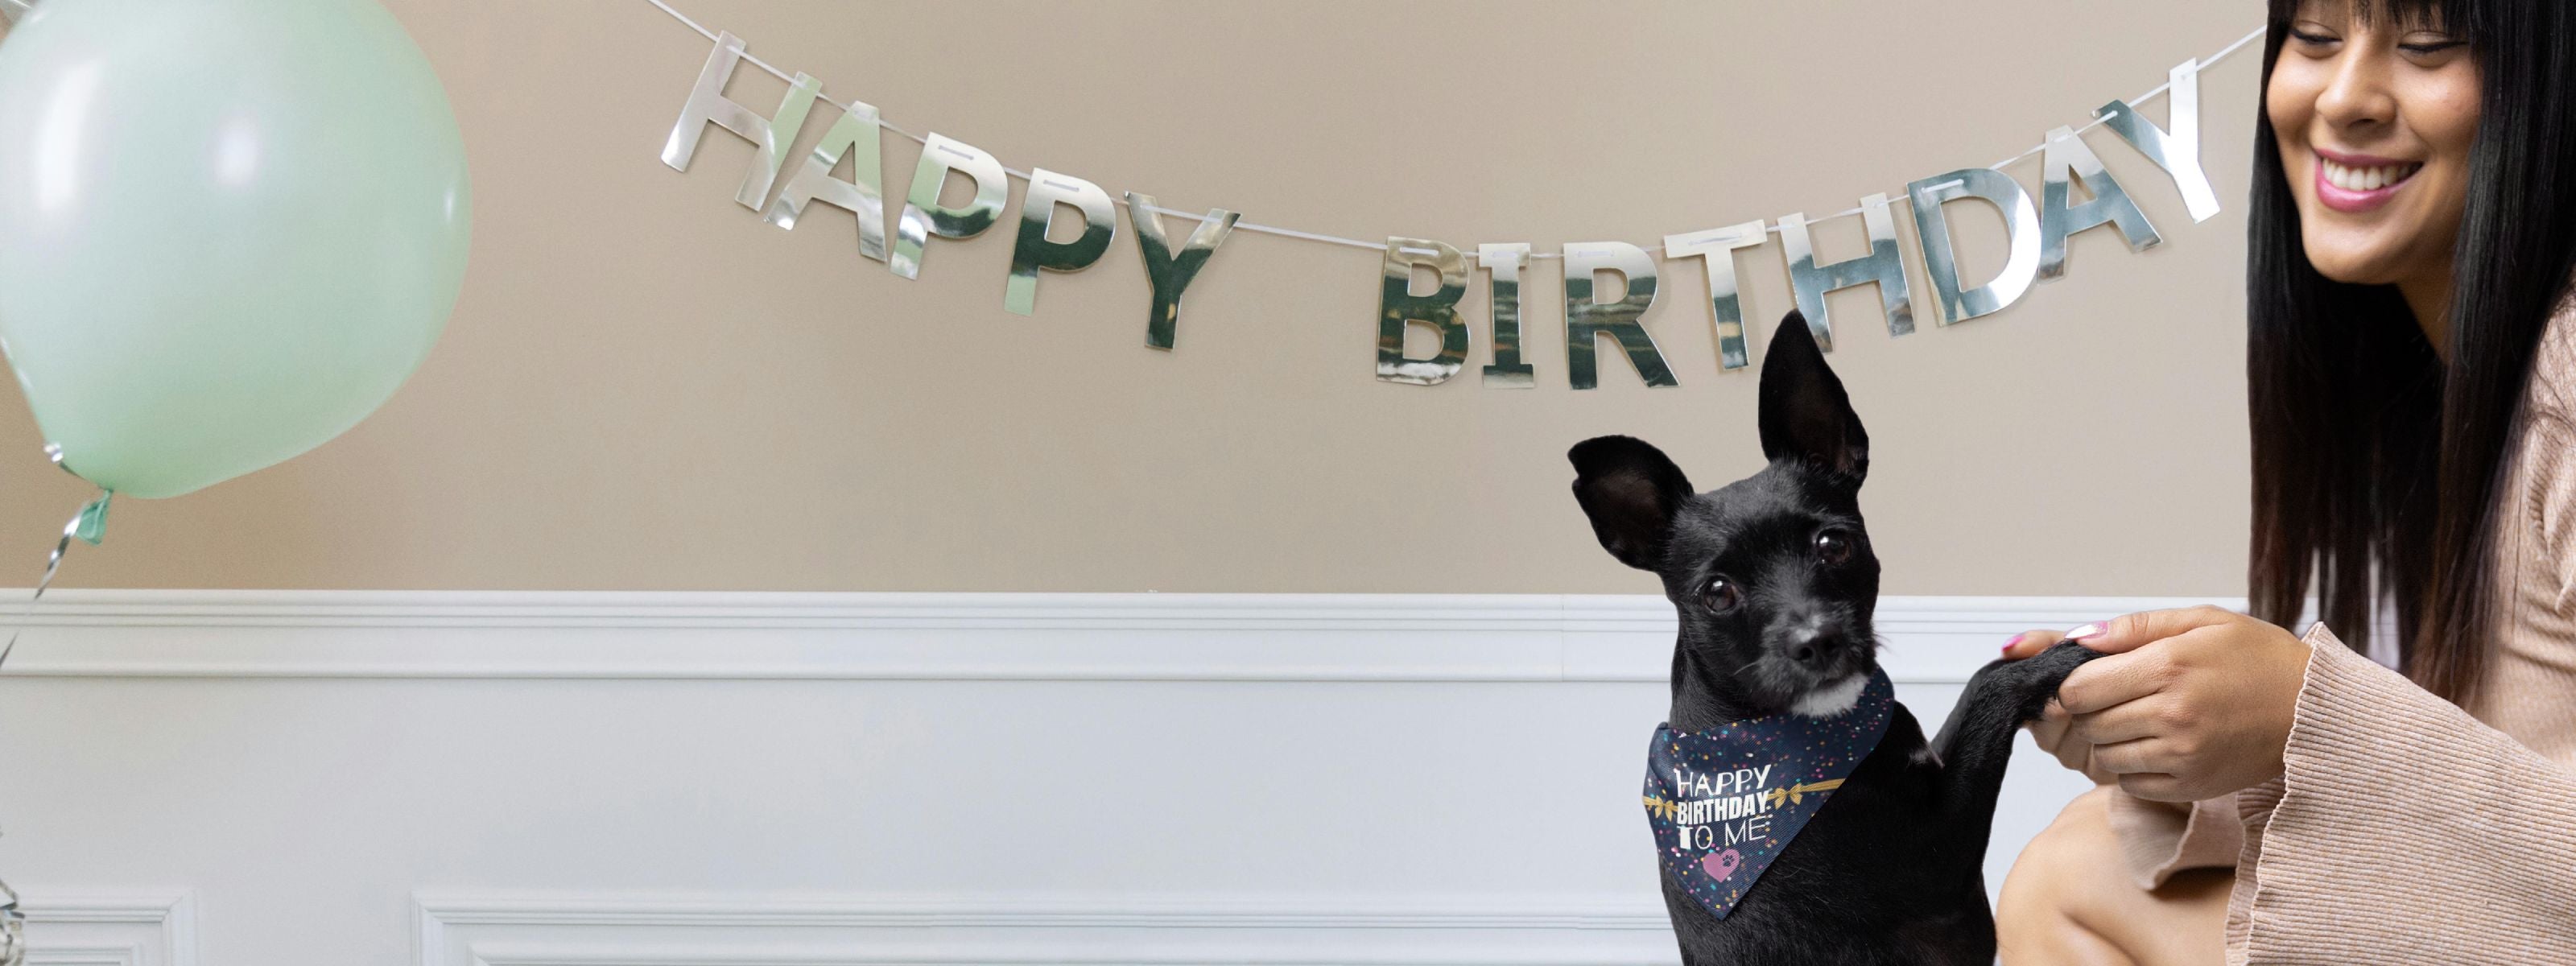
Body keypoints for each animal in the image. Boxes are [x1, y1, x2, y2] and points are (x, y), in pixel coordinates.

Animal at [1566, 314, 2091, 963]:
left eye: (1832, 544)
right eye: (1716, 593)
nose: (1816, 642)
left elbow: (1971, 694)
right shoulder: (1940, 858)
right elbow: (1990, 694)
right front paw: (2055, 659)